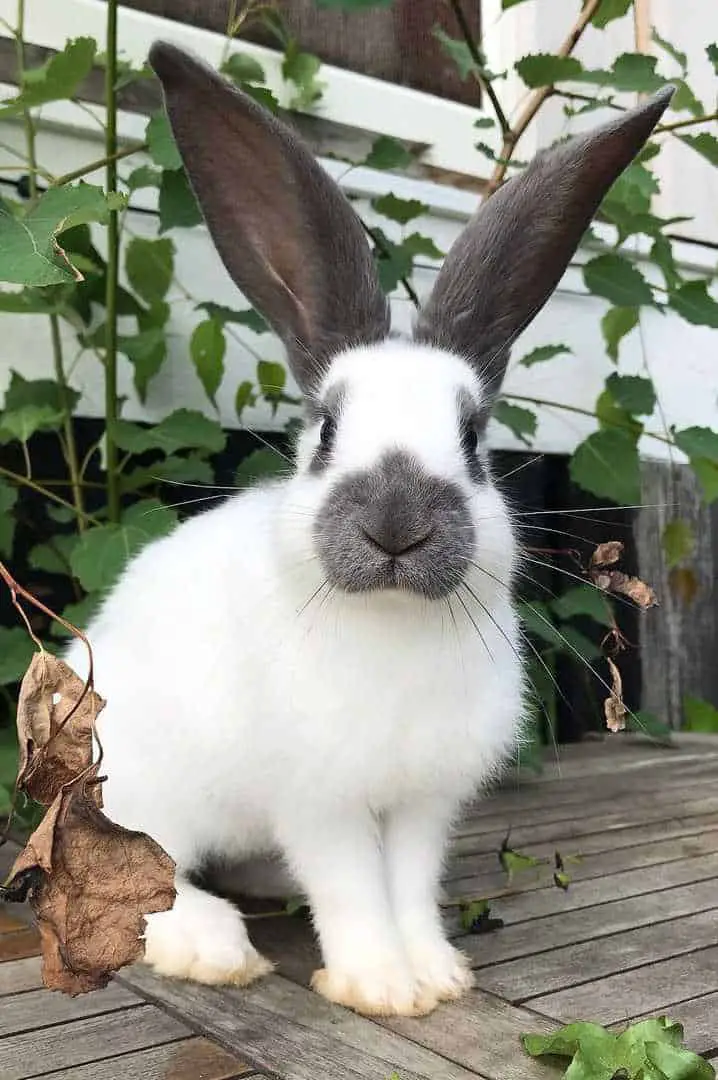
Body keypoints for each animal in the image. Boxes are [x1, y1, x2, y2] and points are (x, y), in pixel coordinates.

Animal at [64, 42, 669, 1015]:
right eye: (326, 431)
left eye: (473, 438)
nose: (396, 528)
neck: (390, 627)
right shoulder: (323, 799)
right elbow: (352, 886)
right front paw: (380, 987)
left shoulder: (424, 802)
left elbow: (409, 885)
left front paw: (438, 979)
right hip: (140, 786)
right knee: (132, 874)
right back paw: (213, 947)